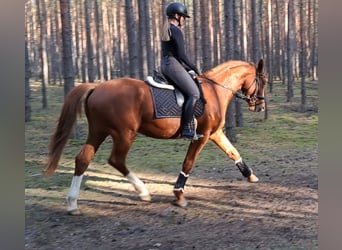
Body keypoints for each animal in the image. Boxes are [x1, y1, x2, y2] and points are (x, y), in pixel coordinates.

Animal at [43, 58, 268, 213]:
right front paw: (178, 195)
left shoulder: (215, 133)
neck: (215, 90)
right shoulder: (202, 136)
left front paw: (251, 175)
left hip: (98, 132)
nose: (260, 106)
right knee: (116, 160)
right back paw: (143, 192)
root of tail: (97, 86)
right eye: (263, 80)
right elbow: (188, 163)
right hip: (124, 134)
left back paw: (72, 204)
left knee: (83, 159)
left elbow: (233, 152)